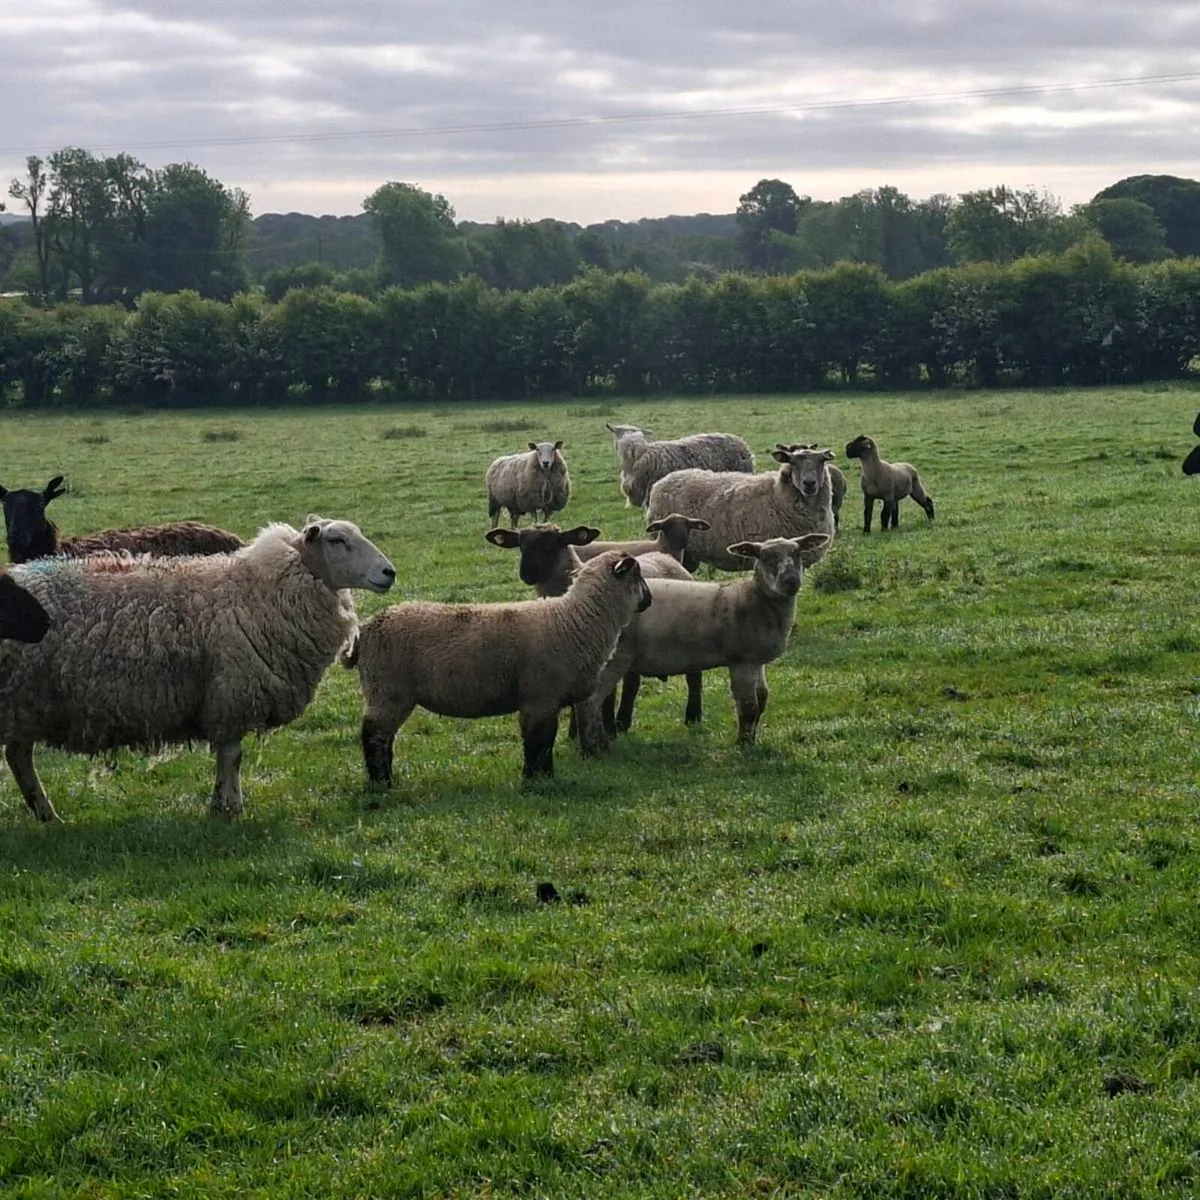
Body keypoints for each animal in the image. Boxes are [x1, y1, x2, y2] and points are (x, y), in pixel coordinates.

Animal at [0, 516, 395, 822]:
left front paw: (223, 804)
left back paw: (46, 814)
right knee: (18, 756)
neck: (258, 591)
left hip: (24, 705)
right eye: (337, 539)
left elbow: (229, 756)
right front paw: (229, 807)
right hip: (18, 700)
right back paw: (47, 812)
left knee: (18, 756)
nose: (389, 572)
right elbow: (233, 756)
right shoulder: (232, 694)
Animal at [345, 550, 652, 784]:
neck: (576, 620)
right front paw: (534, 781)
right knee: (374, 736)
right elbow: (538, 742)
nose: (649, 600)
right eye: (637, 576)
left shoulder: (547, 700)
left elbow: (547, 741)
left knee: (385, 738)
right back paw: (381, 784)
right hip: (387, 690)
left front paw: (546, 776)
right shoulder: (539, 698)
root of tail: (365, 630)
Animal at [485, 523, 703, 732]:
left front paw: (603, 729)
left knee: (693, 675)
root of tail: (667, 557)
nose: (527, 573)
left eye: (553, 543)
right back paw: (623, 721)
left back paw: (693, 717)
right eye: (520, 545)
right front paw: (576, 732)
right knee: (632, 682)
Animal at [575, 533, 830, 755]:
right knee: (590, 702)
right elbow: (748, 705)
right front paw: (743, 745)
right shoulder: (742, 661)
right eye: (765, 557)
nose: (791, 582)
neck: (755, 600)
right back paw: (592, 749)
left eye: (797, 553)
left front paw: (752, 739)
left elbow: (763, 699)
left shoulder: (757, 661)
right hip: (615, 658)